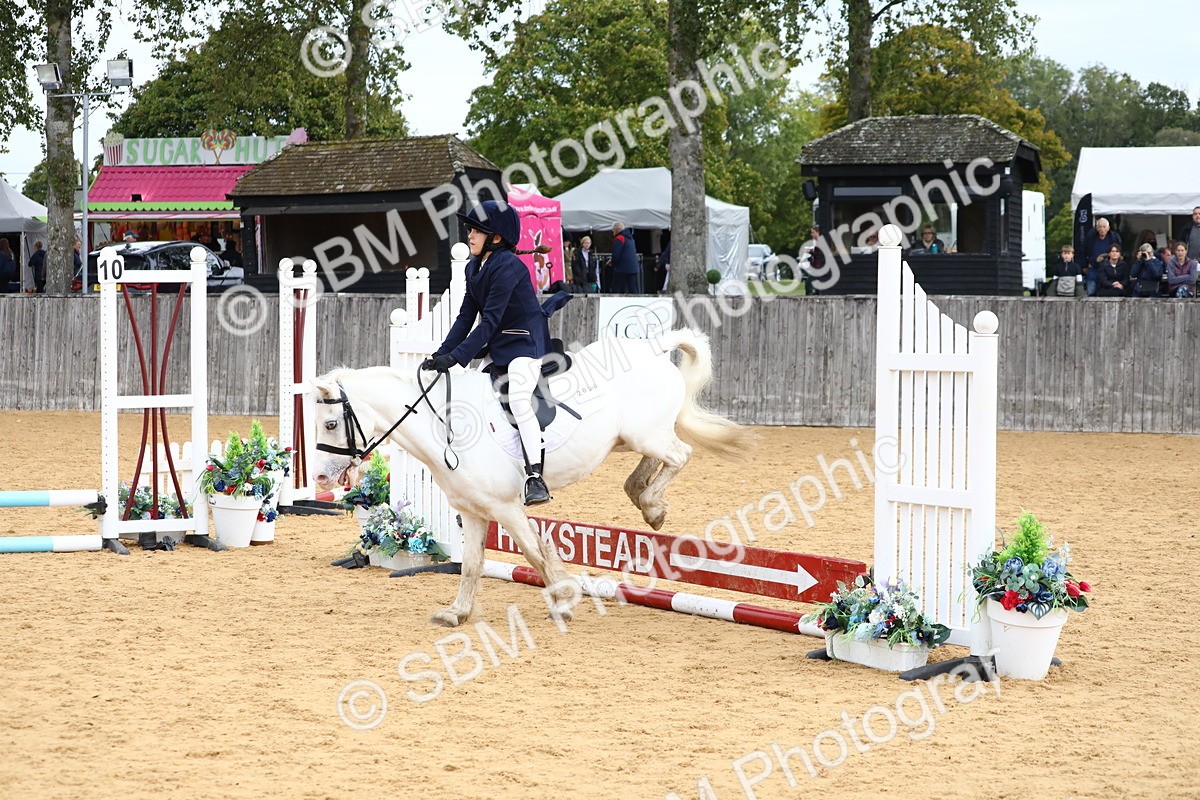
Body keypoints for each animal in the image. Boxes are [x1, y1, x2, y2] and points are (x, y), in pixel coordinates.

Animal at [312, 328, 752, 628]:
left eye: (331, 423)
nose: (318, 477)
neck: (445, 426)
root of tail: (652, 348)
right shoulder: (473, 511)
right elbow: (471, 564)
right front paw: (456, 613)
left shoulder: (506, 507)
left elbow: (535, 552)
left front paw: (564, 600)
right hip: (628, 439)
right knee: (651, 462)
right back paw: (643, 496)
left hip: (648, 434)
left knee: (680, 455)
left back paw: (653, 507)